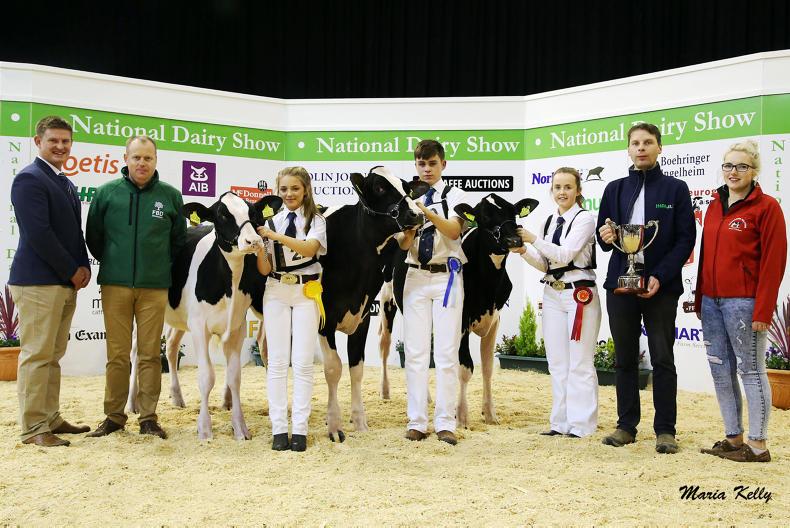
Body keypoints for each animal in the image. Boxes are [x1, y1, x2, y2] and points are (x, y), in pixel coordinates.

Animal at [162, 191, 282, 440]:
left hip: (179, 318)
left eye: (252, 212)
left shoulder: (236, 326)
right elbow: (207, 377)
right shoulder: (199, 327)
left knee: (170, 346)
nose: (253, 241)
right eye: (222, 215)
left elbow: (234, 376)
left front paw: (240, 427)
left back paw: (177, 397)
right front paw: (205, 429)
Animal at [318, 166, 428, 442]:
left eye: (406, 187)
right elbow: (333, 368)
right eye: (379, 187)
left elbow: (356, 368)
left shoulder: (363, 316)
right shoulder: (325, 319)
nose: (416, 214)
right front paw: (334, 425)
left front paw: (359, 422)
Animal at [378, 193, 538, 428]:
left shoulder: (494, 319)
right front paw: (461, 416)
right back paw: (385, 391)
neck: (488, 284)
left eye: (513, 212)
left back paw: (425, 398)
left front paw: (490, 414)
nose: (513, 241)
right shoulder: (461, 320)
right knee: (385, 344)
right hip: (386, 298)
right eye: (483, 216)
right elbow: (465, 367)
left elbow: (488, 367)